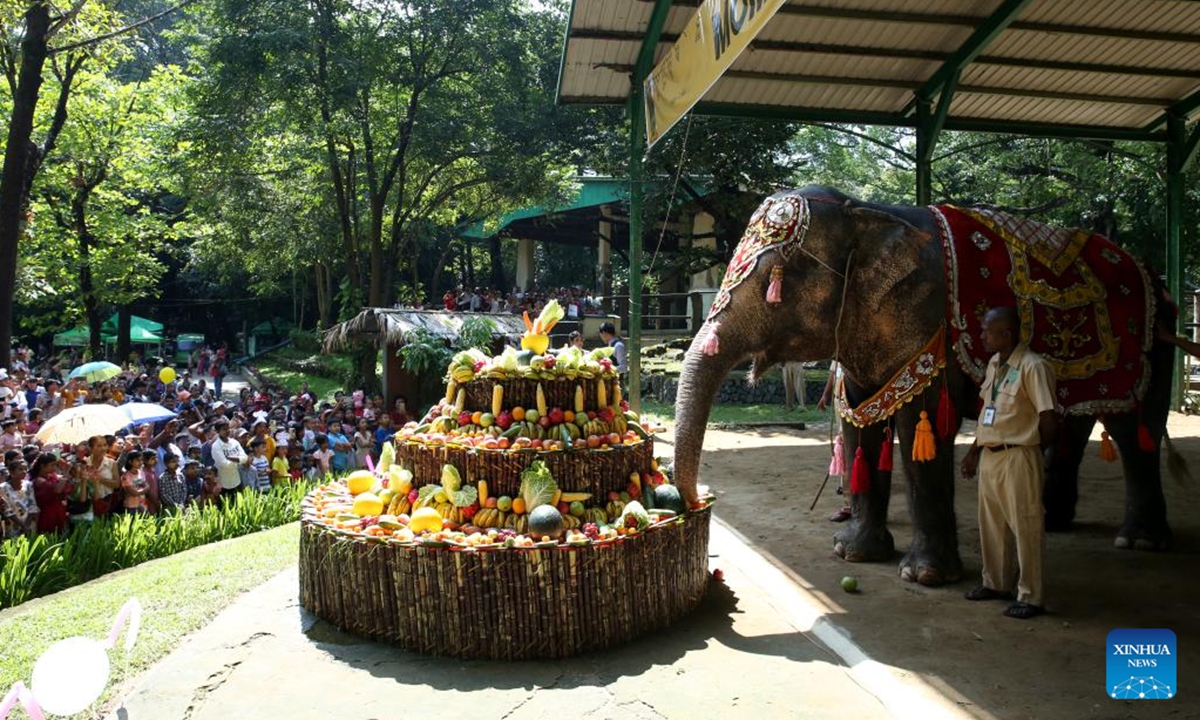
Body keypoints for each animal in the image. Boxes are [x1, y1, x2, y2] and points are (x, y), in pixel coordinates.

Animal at [672, 186, 1176, 585]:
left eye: (780, 276)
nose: (697, 504)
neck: (868, 211)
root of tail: (1157, 278)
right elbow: (858, 423)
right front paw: (852, 553)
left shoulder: (929, 322)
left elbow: (923, 424)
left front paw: (925, 576)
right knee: (1075, 423)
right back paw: (1053, 521)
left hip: (1152, 344)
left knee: (1134, 431)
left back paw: (1139, 541)